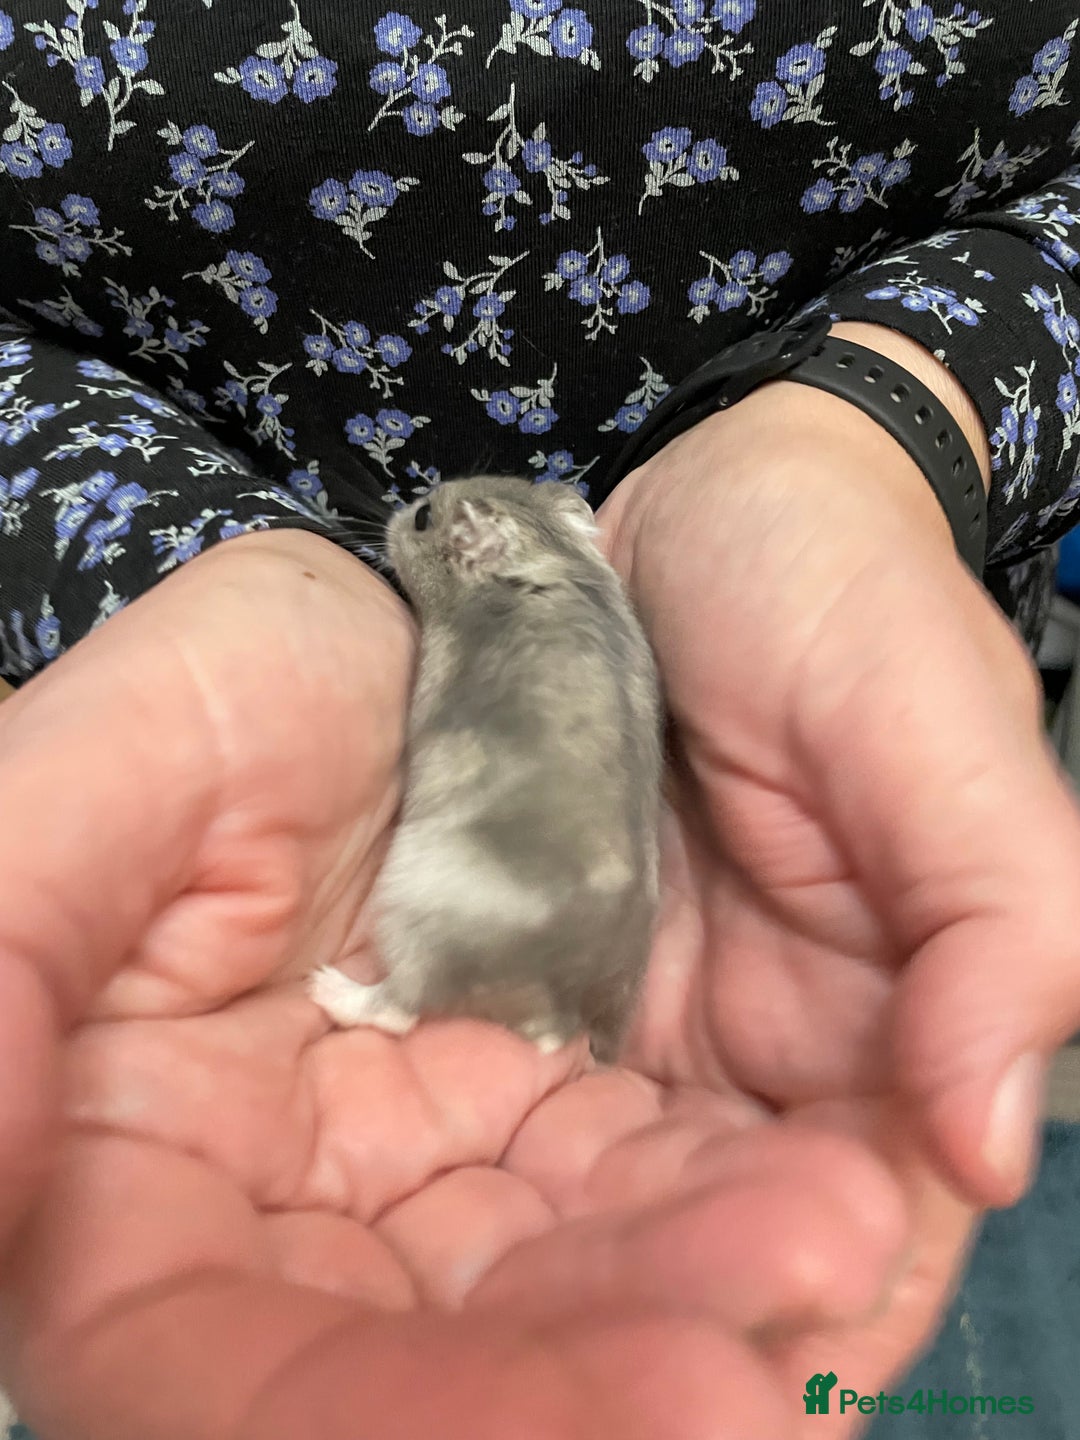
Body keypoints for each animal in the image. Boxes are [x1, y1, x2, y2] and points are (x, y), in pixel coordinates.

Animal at [308, 475, 663, 1064]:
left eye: (423, 518)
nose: (395, 516)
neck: (542, 552)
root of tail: (565, 1017)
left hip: (413, 909)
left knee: (399, 1010)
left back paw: (325, 986)